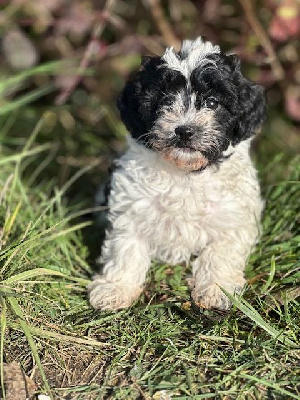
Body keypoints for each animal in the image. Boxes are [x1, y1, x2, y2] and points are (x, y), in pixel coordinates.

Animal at [88, 37, 266, 310]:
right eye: (165, 101)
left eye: (212, 102)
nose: (185, 131)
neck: (185, 173)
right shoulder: (131, 210)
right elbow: (126, 249)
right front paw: (115, 288)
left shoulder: (233, 216)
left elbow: (221, 252)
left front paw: (216, 289)